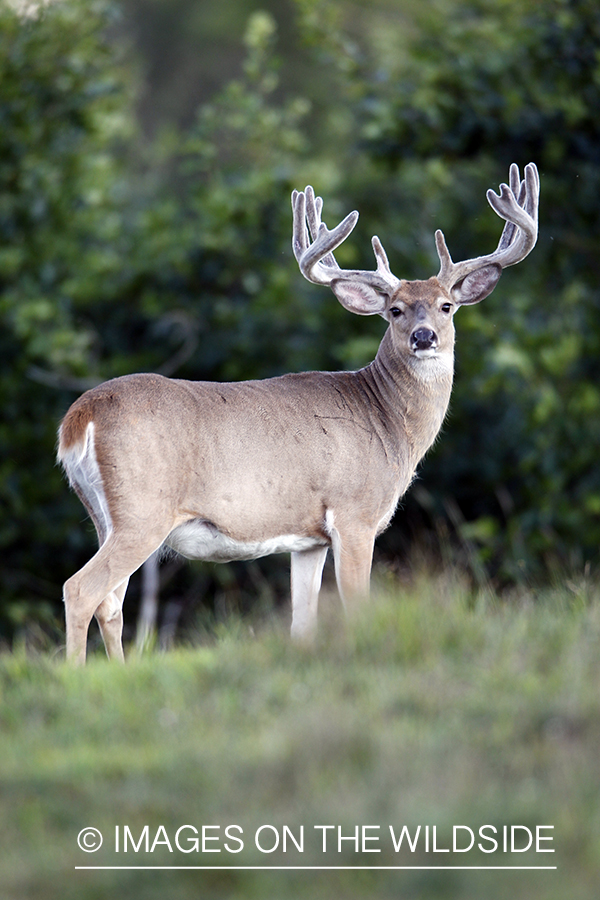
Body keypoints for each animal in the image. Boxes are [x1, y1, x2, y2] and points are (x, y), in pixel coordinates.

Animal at [58, 162, 540, 660]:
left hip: (103, 514)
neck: (388, 422)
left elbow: (301, 623)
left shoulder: (308, 540)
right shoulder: (354, 513)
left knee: (110, 602)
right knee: (81, 589)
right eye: (395, 310)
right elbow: (357, 607)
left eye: (447, 306)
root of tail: (79, 418)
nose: (423, 337)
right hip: (142, 510)